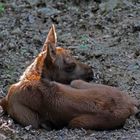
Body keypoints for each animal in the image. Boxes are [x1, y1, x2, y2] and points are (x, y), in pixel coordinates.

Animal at [0, 24, 140, 130]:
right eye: (70, 66)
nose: (91, 72)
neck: (32, 75)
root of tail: (131, 104)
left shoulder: (25, 116)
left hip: (76, 114)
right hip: (77, 84)